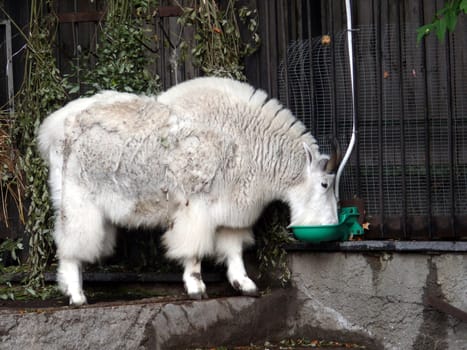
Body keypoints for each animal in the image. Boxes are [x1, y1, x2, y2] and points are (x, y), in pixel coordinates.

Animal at [38, 77, 340, 306]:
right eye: (324, 184)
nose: (331, 225)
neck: (247, 143)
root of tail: (55, 127)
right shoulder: (196, 207)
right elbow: (194, 249)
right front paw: (197, 289)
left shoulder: (230, 211)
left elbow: (233, 250)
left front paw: (245, 284)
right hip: (77, 199)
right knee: (71, 244)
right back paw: (77, 295)